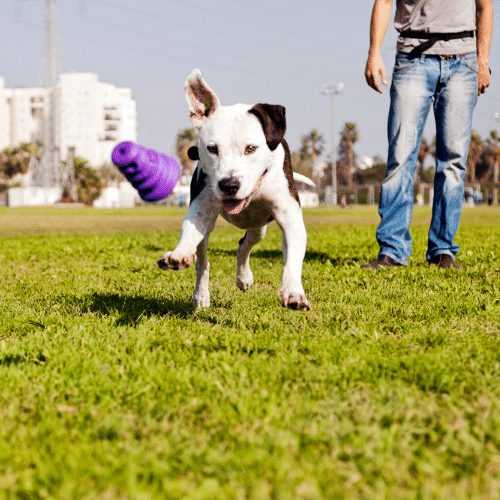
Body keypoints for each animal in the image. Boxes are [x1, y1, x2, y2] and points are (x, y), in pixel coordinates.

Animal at [158, 68, 310, 310]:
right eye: (212, 148)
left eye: (251, 148)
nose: (229, 184)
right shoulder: (201, 208)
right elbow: (191, 233)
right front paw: (180, 254)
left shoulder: (289, 216)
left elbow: (292, 258)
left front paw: (294, 292)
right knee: (204, 261)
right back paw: (202, 294)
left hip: (259, 225)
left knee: (245, 244)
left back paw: (244, 277)